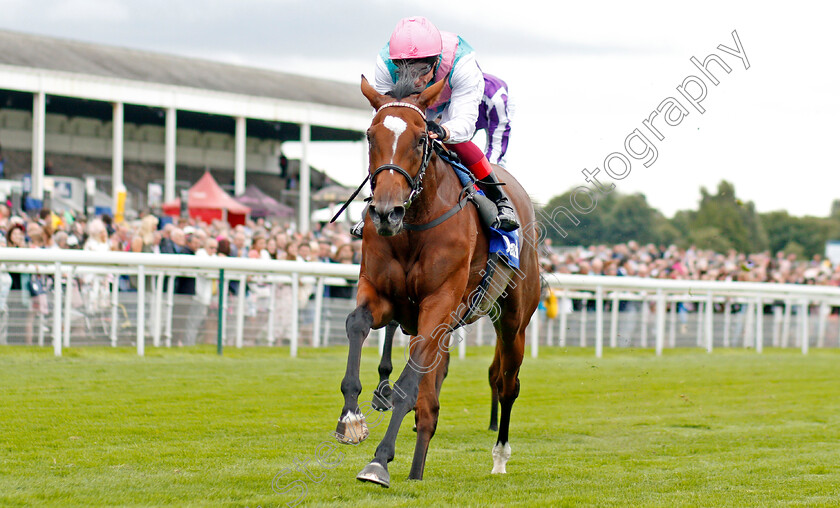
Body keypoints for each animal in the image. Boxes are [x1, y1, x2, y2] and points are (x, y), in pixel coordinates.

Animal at [334, 75, 540, 488]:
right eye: (369, 136)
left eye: (419, 139)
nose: (386, 212)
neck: (414, 225)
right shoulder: (381, 294)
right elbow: (357, 324)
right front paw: (351, 418)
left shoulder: (438, 305)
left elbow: (407, 388)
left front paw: (378, 462)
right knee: (431, 402)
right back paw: (416, 470)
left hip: (513, 321)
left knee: (506, 384)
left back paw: (499, 456)